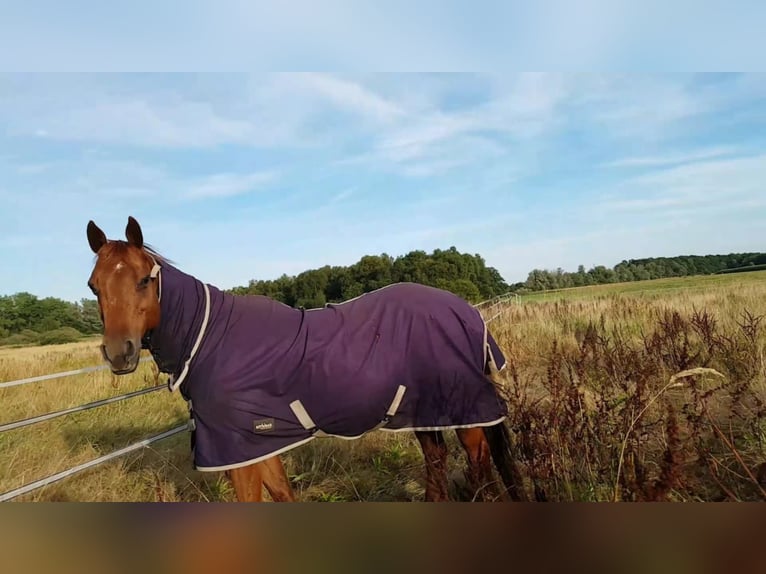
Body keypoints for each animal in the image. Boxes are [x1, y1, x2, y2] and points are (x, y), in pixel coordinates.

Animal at [87, 217, 524, 504]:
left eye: (144, 280)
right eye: (94, 286)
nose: (120, 352)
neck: (208, 337)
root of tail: (466, 311)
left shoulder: (236, 450)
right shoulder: (255, 445)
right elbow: (282, 494)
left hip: (465, 413)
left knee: (480, 467)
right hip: (422, 411)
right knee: (437, 461)